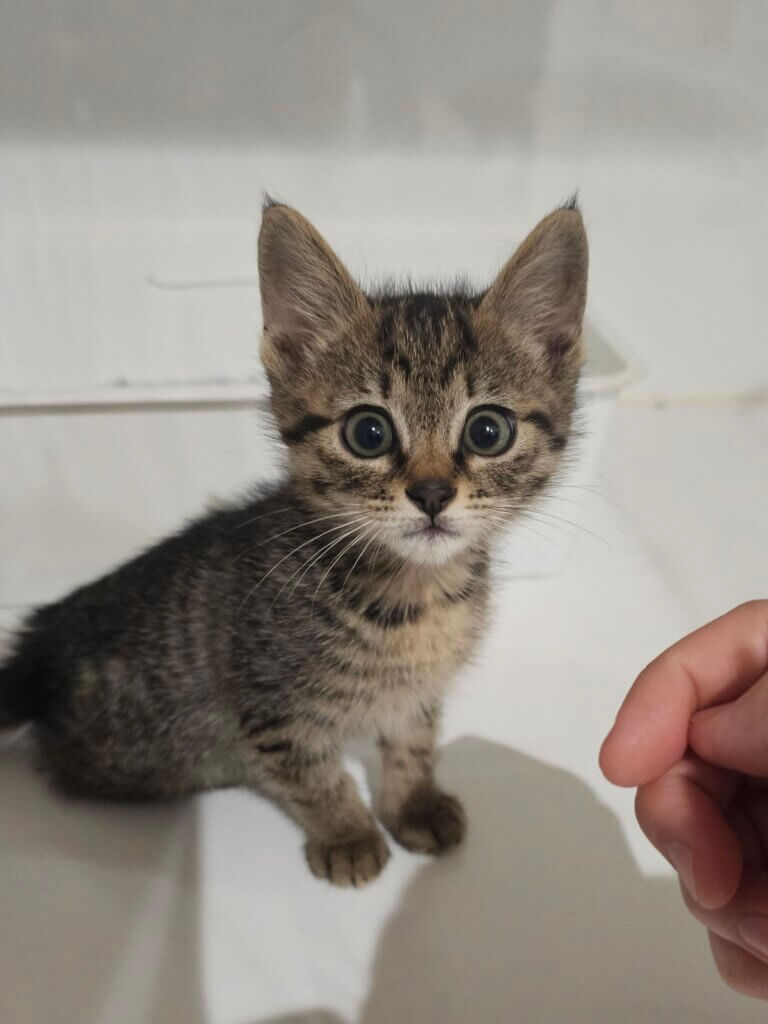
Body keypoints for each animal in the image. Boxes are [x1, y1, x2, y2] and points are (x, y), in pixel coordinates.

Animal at [0, 198, 588, 886]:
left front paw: (412, 802)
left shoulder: (418, 692)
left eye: (488, 430)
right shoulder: (272, 709)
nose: (432, 493)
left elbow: (414, 740)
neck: (416, 596)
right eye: (368, 432)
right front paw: (348, 834)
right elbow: (314, 776)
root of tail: (40, 644)